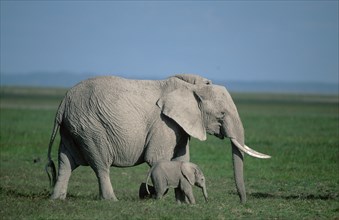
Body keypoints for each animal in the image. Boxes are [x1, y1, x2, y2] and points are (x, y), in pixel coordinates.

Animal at [46, 74, 270, 205]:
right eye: (221, 114)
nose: (242, 202)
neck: (191, 87)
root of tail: (63, 103)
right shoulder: (163, 122)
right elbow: (157, 159)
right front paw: (158, 197)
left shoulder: (179, 125)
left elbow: (182, 159)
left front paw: (180, 203)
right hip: (91, 127)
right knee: (100, 164)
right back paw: (112, 201)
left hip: (74, 127)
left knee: (66, 162)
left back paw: (57, 199)